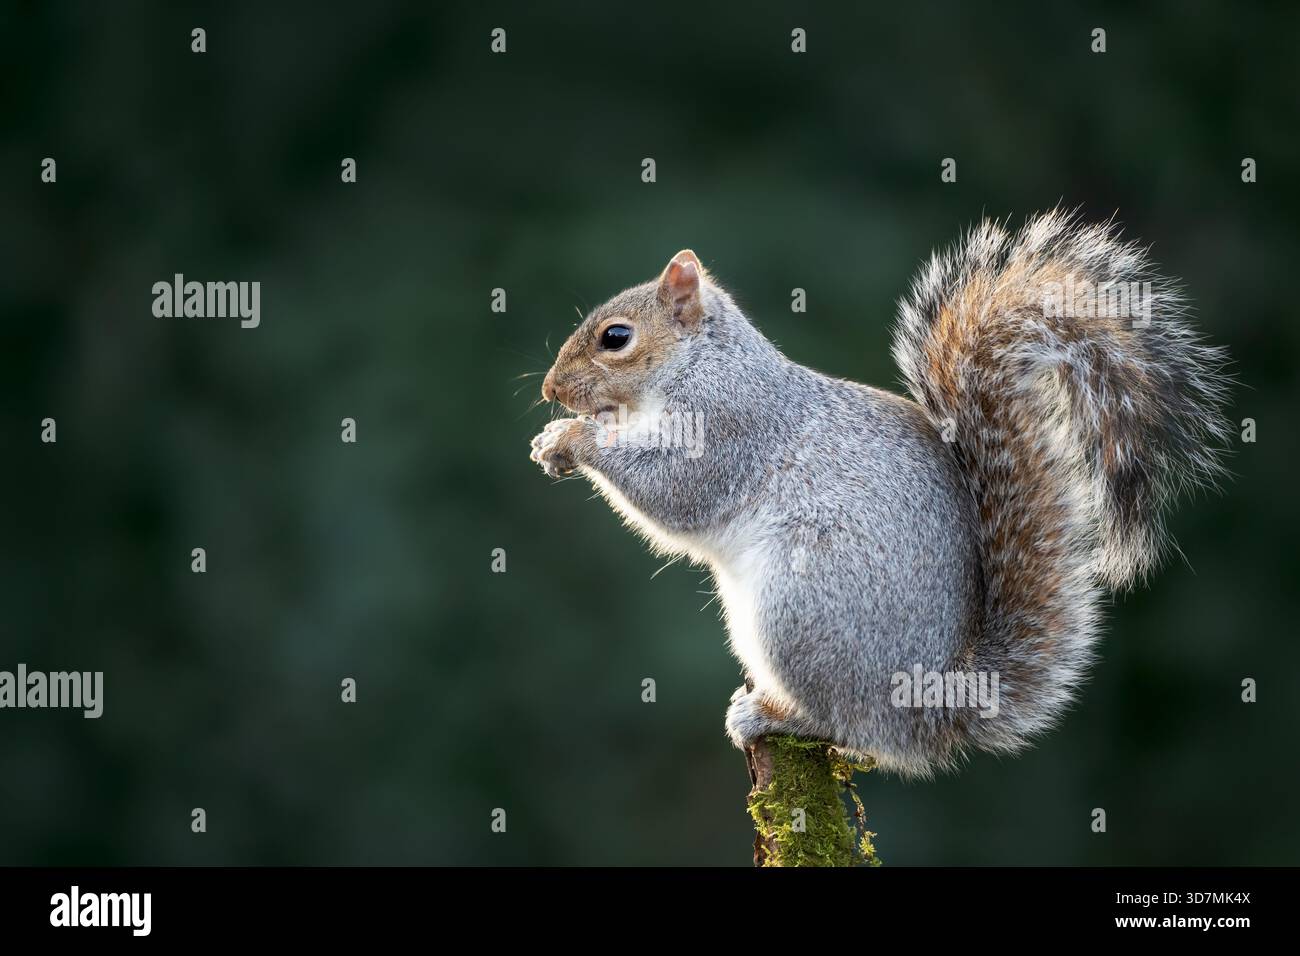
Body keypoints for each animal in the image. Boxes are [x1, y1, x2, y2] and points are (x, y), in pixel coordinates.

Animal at [529, 210, 1230, 777]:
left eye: (616, 337)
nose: (550, 390)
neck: (700, 365)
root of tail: (927, 712)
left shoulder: (729, 428)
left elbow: (675, 490)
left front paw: (573, 439)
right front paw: (554, 436)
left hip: (801, 609)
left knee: (849, 726)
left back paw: (774, 715)